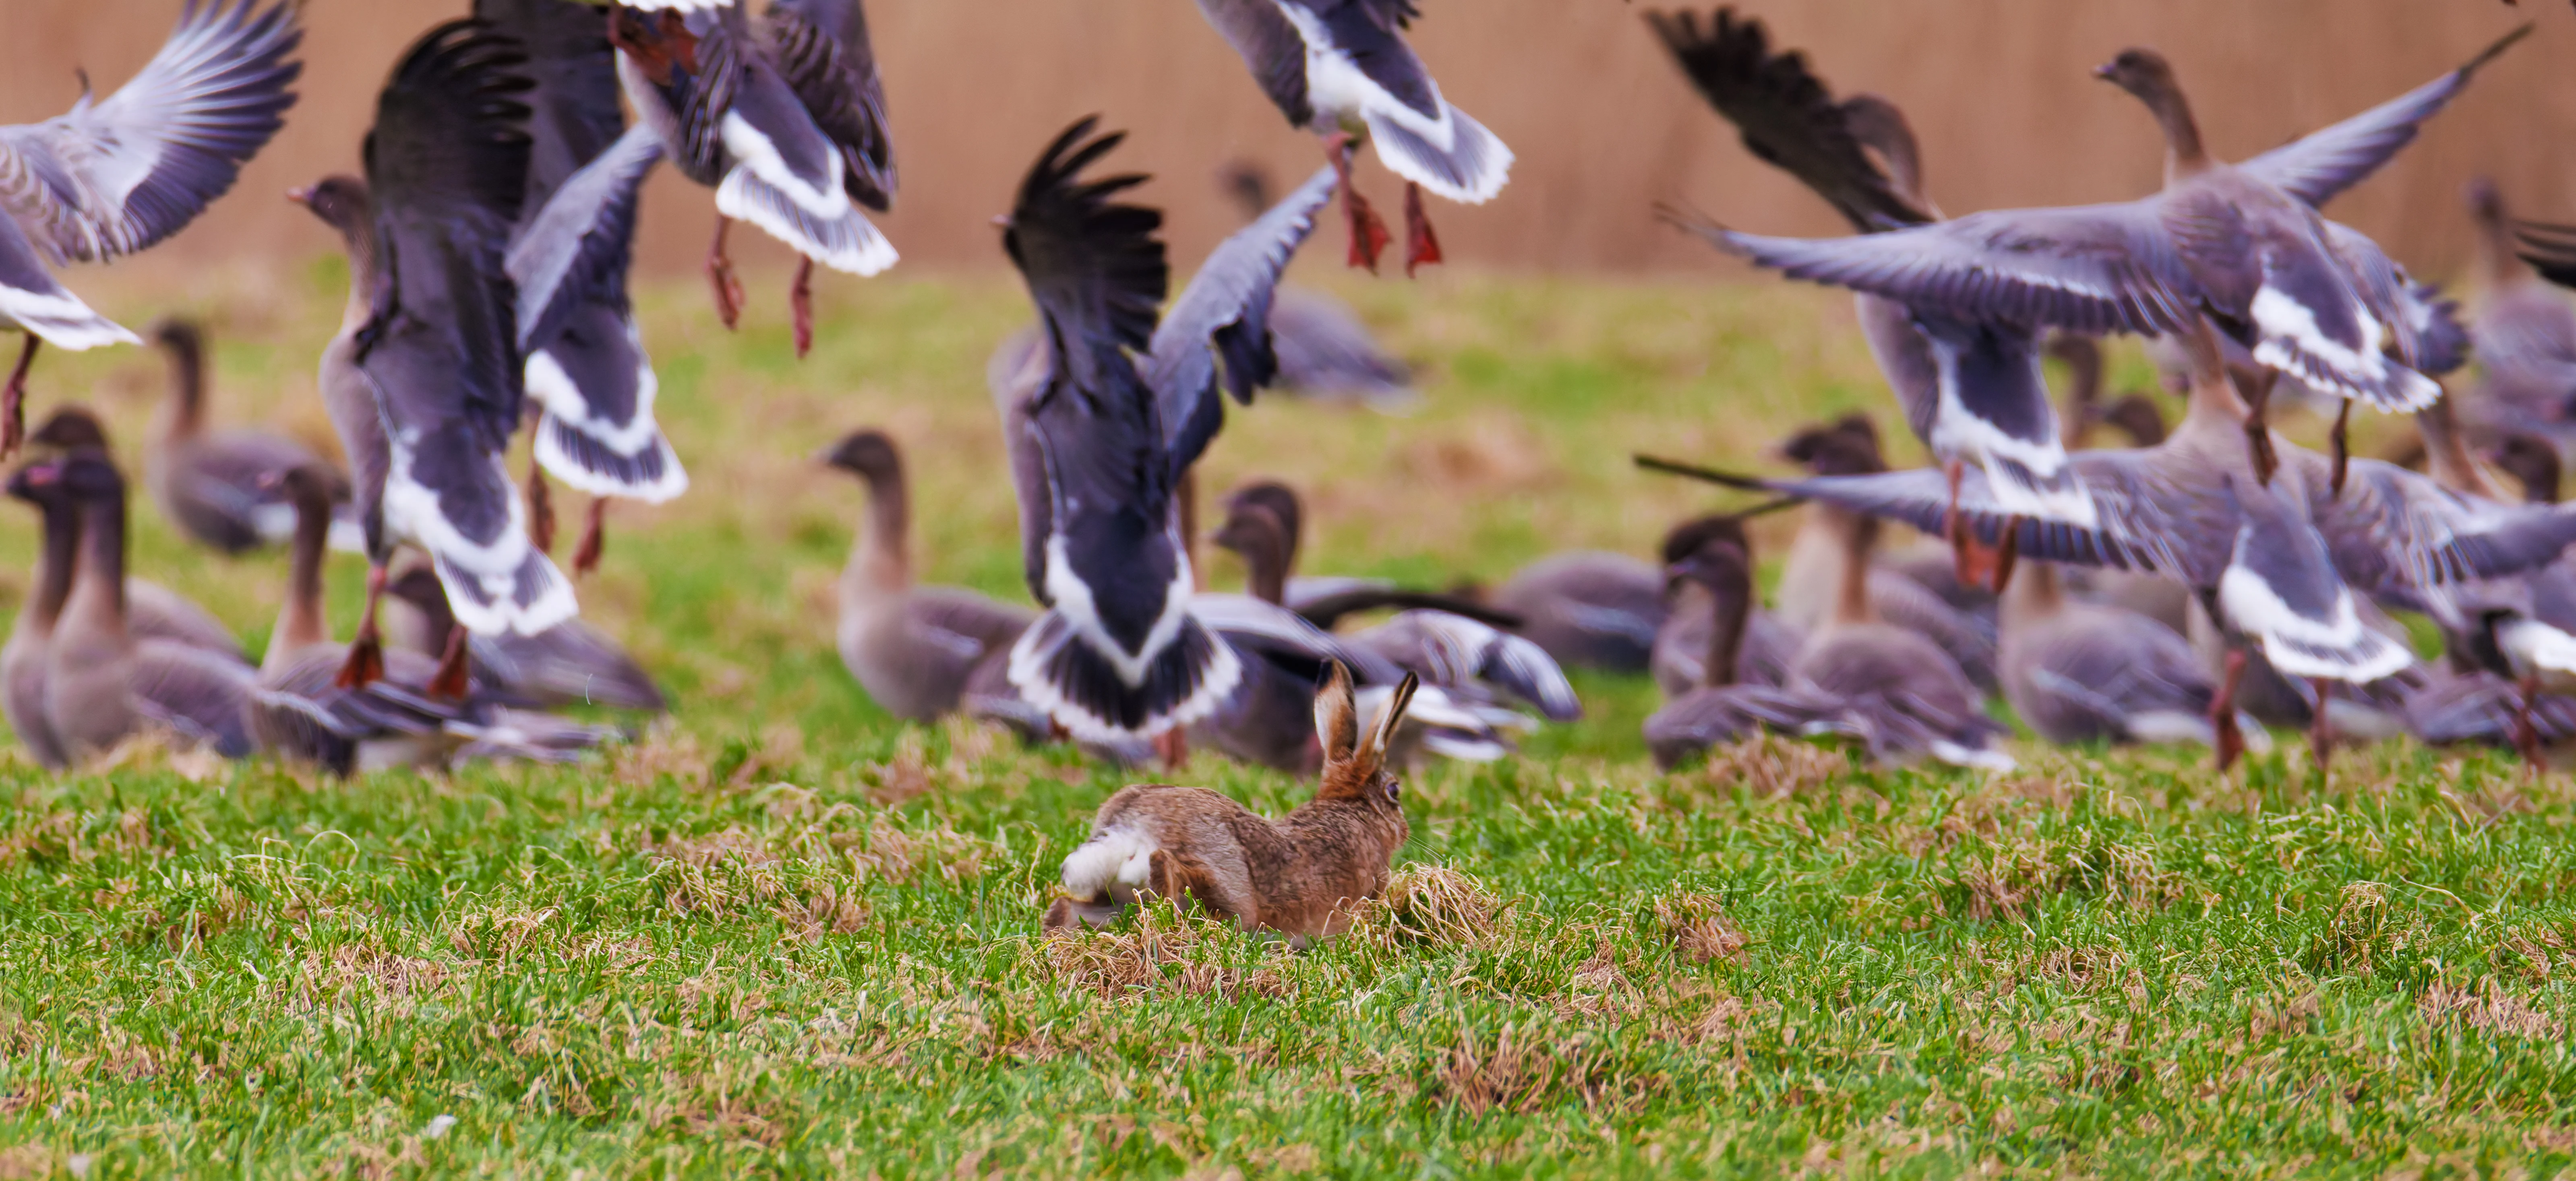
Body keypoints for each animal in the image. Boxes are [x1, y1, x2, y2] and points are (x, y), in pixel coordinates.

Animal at [1043, 664, 1419, 944]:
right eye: (1395, 791)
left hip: (1116, 900)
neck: (1351, 808)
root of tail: (1127, 827)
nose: (1405, 830)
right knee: (1171, 874)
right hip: (1231, 892)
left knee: (1068, 909)